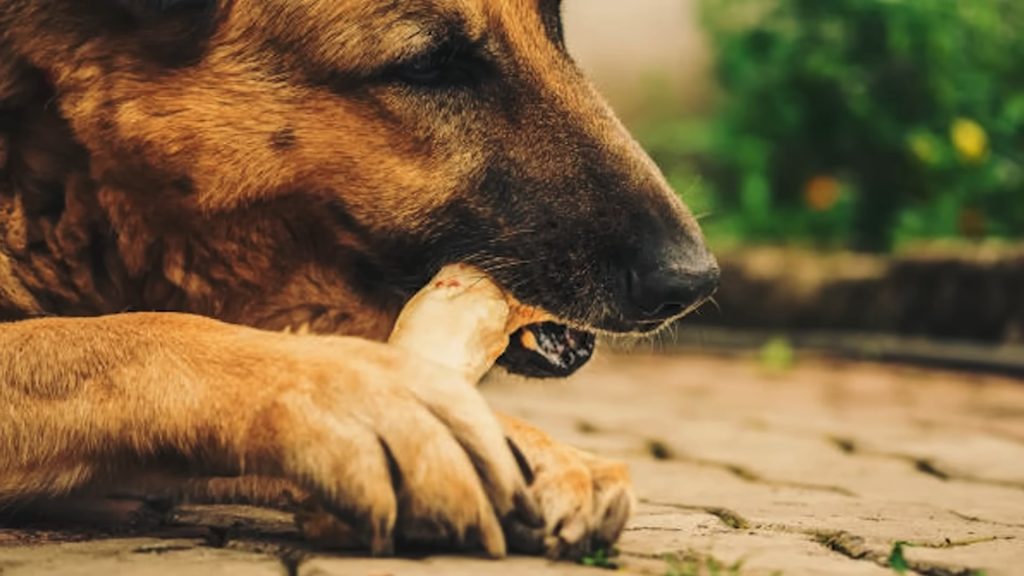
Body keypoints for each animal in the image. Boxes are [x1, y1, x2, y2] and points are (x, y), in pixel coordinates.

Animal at [0, 0, 720, 557]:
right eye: (427, 65)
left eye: (556, 28)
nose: (695, 281)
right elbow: (133, 335)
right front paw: (372, 399)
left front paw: (523, 442)